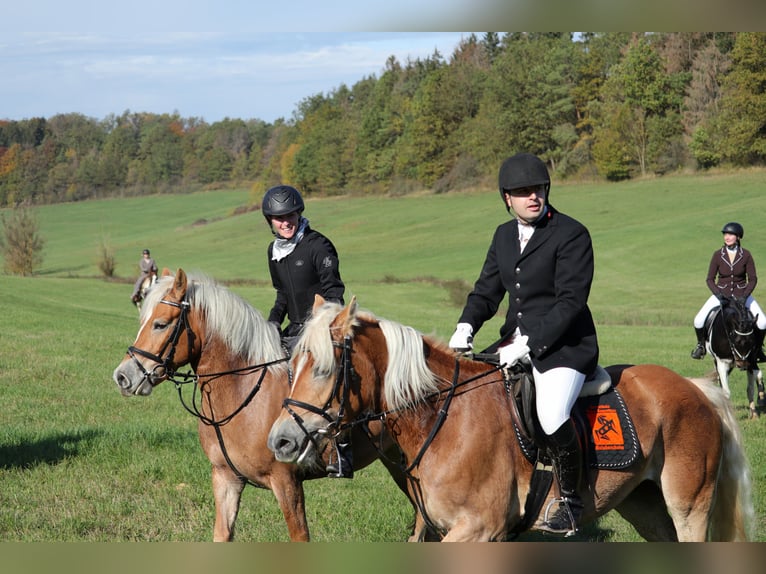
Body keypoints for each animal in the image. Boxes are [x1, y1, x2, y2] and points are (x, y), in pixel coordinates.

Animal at [111, 272, 412, 544]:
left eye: (160, 324)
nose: (123, 376)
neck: (243, 392)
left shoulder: (287, 483)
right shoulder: (225, 478)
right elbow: (222, 534)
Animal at [266, 296, 756, 544]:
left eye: (324, 369)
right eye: (293, 365)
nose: (281, 442)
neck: (442, 420)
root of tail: (695, 387)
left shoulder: (478, 530)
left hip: (689, 505)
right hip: (645, 505)